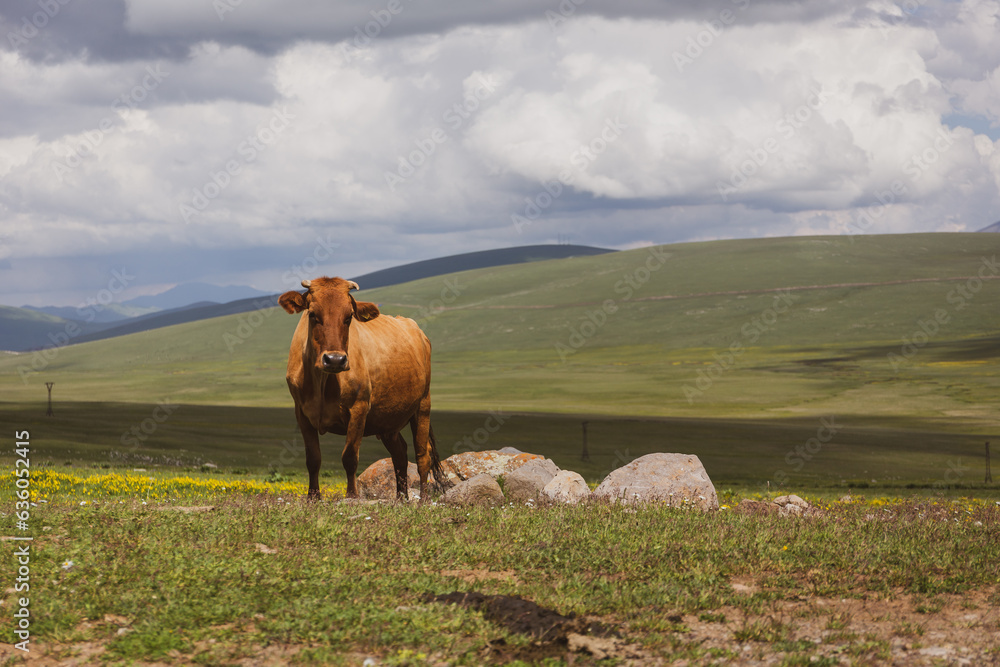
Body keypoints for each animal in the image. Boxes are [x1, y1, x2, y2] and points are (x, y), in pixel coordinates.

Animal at [280, 276, 456, 500]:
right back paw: (401, 498)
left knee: (422, 455)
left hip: (423, 405)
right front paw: (313, 497)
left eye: (348, 317)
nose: (335, 360)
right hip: (388, 420)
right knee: (400, 453)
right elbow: (313, 458)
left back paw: (423, 499)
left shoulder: (359, 408)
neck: (323, 382)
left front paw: (351, 496)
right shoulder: (302, 412)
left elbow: (349, 456)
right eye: (312, 314)